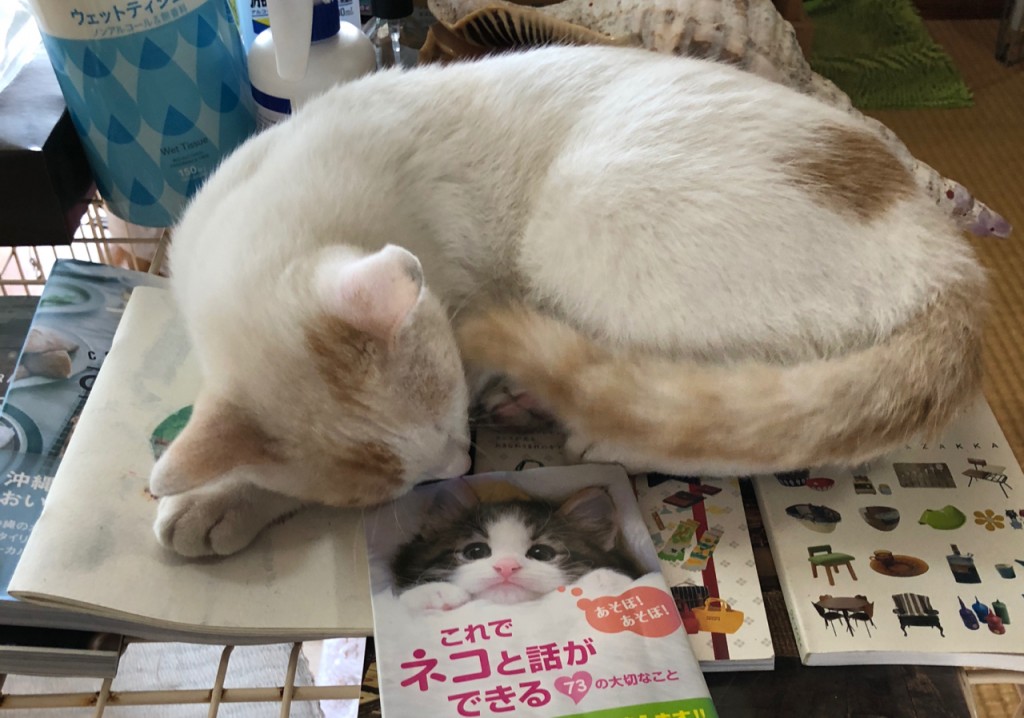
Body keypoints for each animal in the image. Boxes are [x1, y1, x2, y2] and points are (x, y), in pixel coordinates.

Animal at [149, 44, 986, 557]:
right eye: (425, 478)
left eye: (451, 425)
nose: (461, 465)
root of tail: (946, 257)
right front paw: (216, 492)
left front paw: (226, 497)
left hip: (580, 212)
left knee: (730, 417)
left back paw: (586, 428)